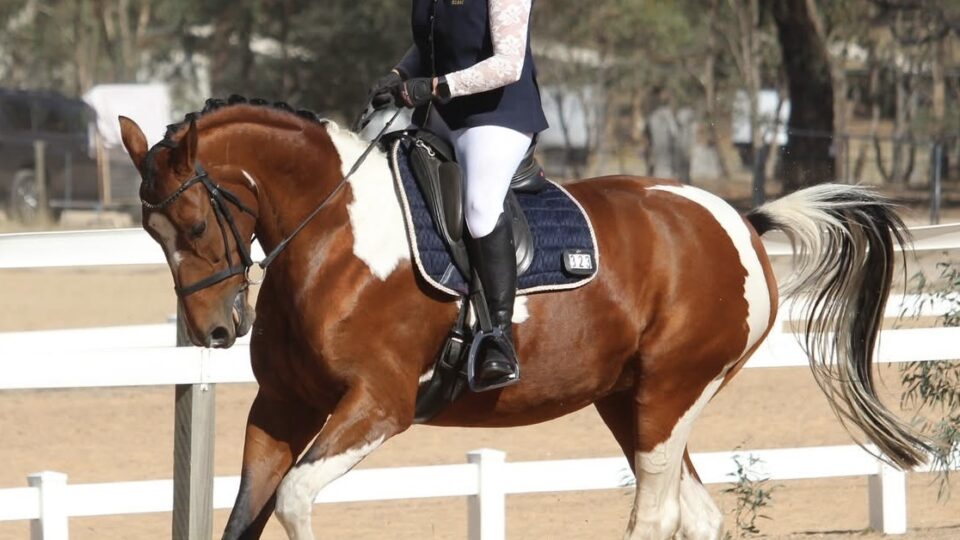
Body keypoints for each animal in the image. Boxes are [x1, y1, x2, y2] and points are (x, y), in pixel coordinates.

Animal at [119, 98, 930, 540]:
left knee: (655, 514)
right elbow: (244, 514)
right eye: (151, 233)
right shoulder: (282, 407)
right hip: (633, 402)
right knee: (693, 513)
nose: (215, 331)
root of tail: (738, 219)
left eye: (194, 224)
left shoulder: (377, 406)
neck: (334, 232)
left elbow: (292, 498)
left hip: (668, 396)